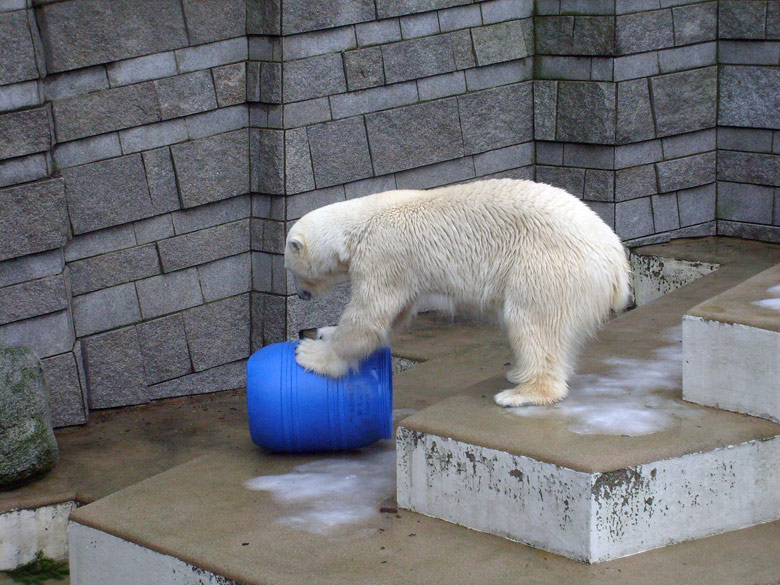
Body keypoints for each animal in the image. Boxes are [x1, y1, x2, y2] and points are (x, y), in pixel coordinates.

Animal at [284, 178, 632, 406]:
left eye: (290, 269)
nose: (301, 296)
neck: (357, 226)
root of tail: (617, 261)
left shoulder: (383, 255)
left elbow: (368, 317)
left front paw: (312, 353)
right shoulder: (403, 270)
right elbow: (396, 314)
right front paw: (326, 331)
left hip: (547, 267)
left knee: (533, 323)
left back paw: (520, 393)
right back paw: (518, 374)